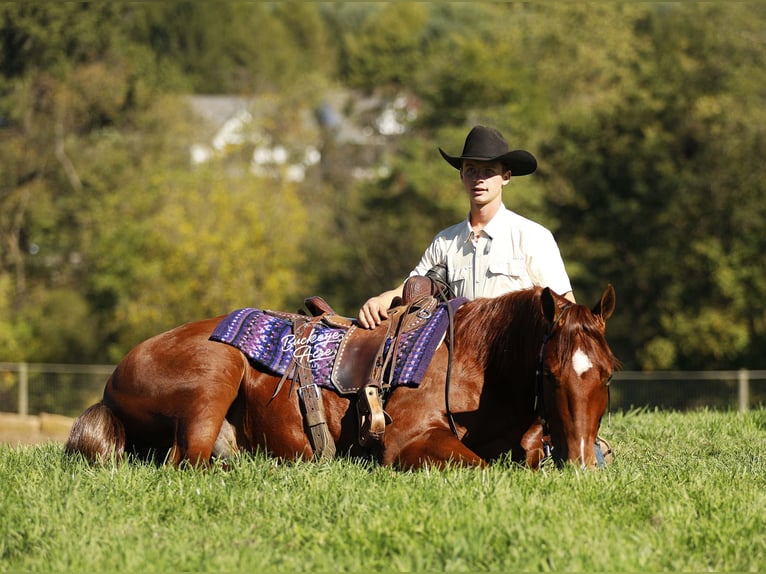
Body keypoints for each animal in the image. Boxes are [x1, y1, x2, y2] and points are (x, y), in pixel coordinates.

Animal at [65, 284, 617, 470]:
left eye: (609, 376)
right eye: (549, 373)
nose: (582, 464)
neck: (476, 364)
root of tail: (112, 383)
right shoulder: (411, 442)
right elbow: (480, 467)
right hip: (215, 376)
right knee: (187, 461)